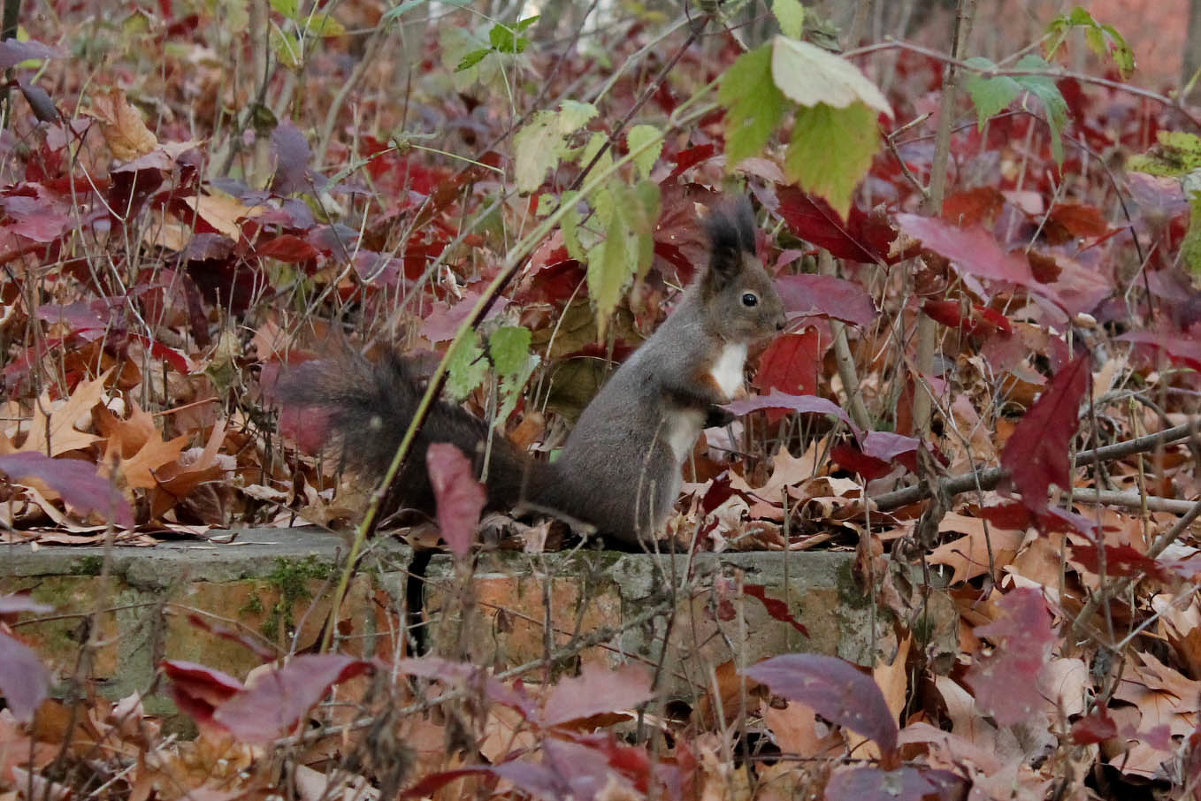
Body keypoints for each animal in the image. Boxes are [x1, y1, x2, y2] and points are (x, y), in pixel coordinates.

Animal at [279, 195, 787, 545]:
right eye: (749, 299)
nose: (783, 323)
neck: (725, 340)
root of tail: (571, 489)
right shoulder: (682, 355)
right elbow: (680, 383)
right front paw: (723, 404)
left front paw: (726, 412)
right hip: (652, 465)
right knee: (621, 528)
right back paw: (656, 542)